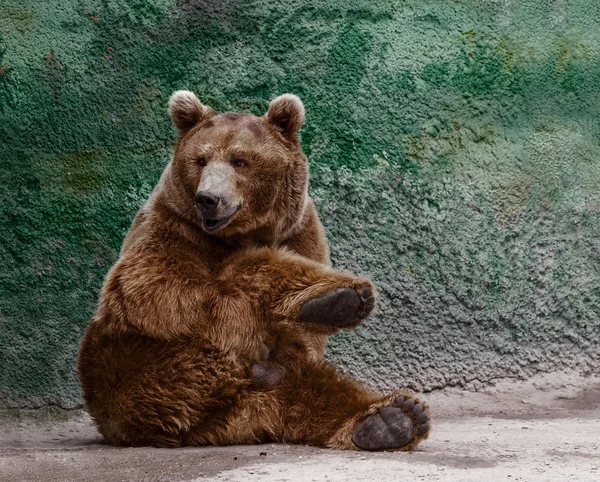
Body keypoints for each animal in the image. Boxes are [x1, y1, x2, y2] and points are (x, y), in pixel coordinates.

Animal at [77, 91, 428, 452]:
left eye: (240, 160)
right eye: (200, 160)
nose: (208, 199)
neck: (242, 234)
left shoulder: (301, 233)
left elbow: (302, 341)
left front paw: (338, 301)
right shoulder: (170, 228)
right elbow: (165, 291)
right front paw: (332, 297)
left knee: (308, 389)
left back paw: (391, 418)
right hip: (129, 366)